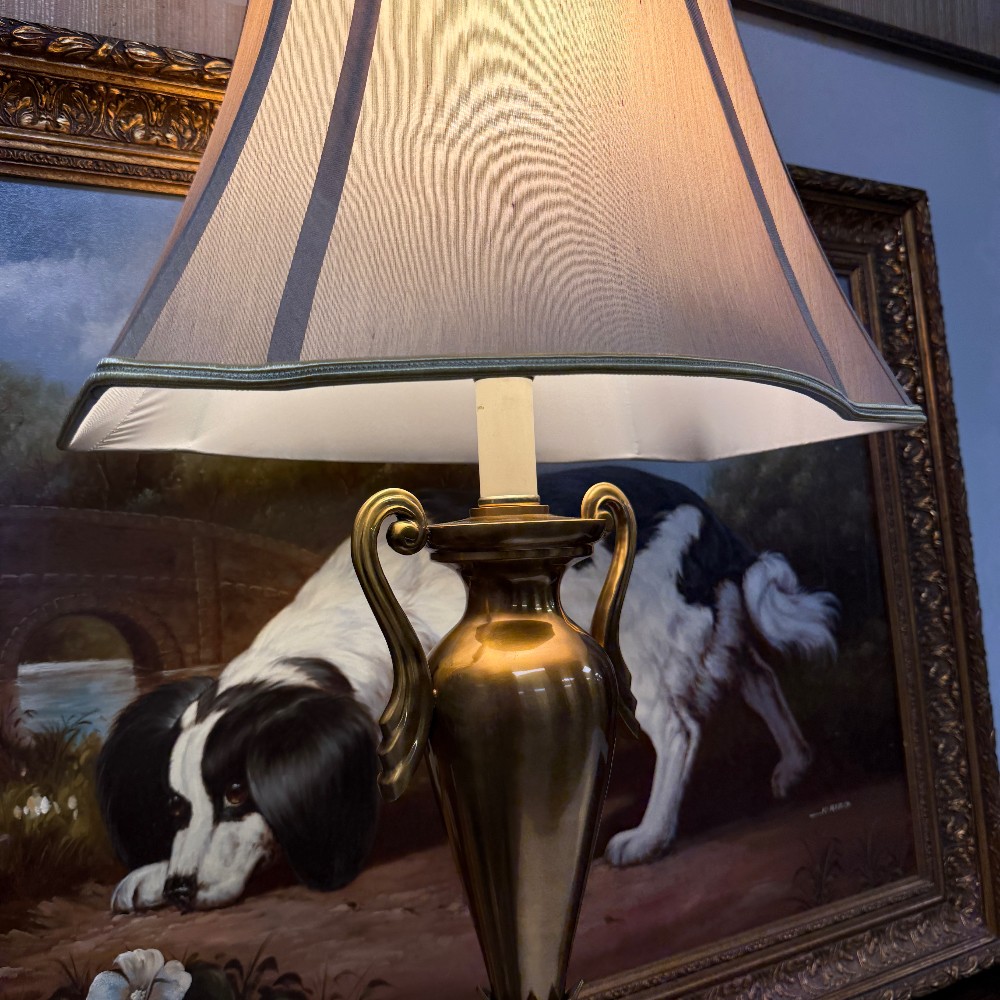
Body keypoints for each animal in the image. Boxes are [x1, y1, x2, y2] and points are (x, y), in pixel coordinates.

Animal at [97, 466, 836, 912]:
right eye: (176, 805)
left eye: (237, 794)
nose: (182, 890)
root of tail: (712, 521)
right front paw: (148, 876)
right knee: (760, 677)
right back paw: (795, 767)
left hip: (644, 649)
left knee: (680, 729)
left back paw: (650, 837)